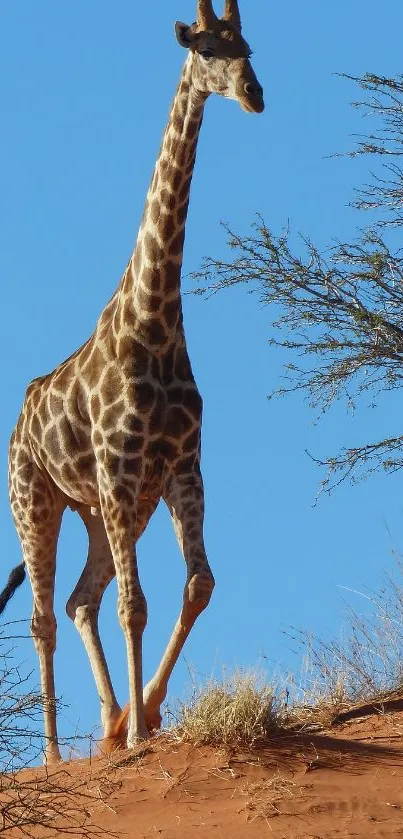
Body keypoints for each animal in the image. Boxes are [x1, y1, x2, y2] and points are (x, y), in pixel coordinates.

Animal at [0, 0, 266, 760]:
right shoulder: (120, 472)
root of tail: (19, 419)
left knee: (79, 599)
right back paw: (56, 752)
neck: (155, 320)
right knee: (45, 615)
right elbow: (135, 603)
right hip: (36, 499)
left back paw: (110, 724)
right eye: (206, 49)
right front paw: (142, 731)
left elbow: (198, 584)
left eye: (248, 47)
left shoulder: (179, 467)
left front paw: (139, 717)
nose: (254, 94)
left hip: (105, 509)